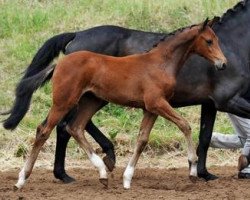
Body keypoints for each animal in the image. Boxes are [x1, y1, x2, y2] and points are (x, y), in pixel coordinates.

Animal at [15, 19, 227, 190]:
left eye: (217, 39)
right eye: (209, 41)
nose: (223, 63)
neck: (161, 63)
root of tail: (59, 63)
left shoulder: (150, 109)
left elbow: (142, 140)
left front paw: (127, 179)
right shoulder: (157, 103)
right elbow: (185, 125)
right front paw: (192, 170)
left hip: (92, 100)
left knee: (75, 127)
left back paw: (102, 173)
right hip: (64, 102)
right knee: (44, 130)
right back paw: (22, 179)